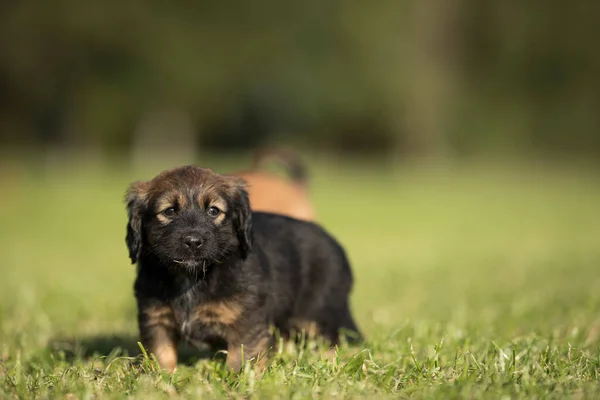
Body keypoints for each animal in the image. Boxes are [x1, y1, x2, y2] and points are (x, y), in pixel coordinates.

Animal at [125, 166, 360, 372]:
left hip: (320, 312)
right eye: (169, 211)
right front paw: (160, 379)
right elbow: (161, 355)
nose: (193, 242)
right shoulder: (156, 320)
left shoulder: (247, 323)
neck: (193, 277)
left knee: (334, 340)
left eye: (213, 211)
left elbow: (241, 359)